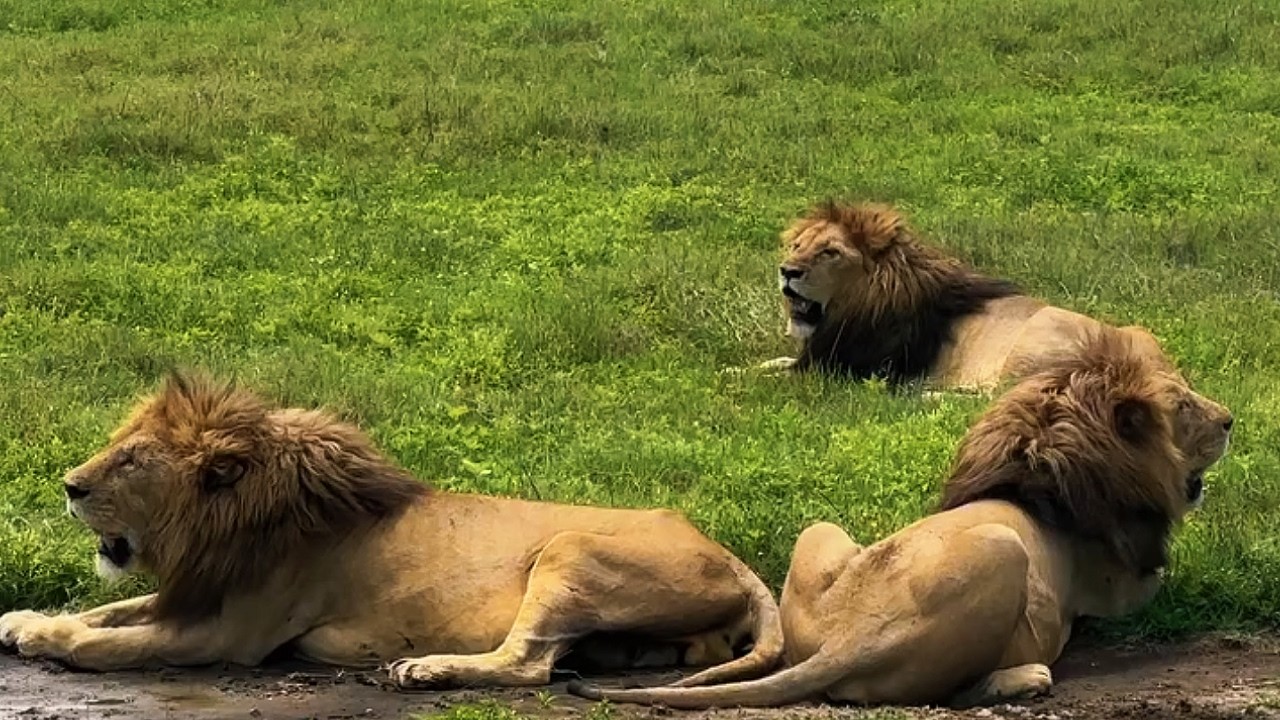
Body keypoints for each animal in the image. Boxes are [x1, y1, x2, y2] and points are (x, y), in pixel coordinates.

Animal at [0, 373, 784, 690]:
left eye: (132, 459)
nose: (68, 486)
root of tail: (731, 555)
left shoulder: (228, 633)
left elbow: (108, 643)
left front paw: (44, 637)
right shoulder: (194, 593)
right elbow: (109, 608)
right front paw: (21, 617)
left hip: (569, 552)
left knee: (527, 663)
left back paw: (426, 670)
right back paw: (632, 655)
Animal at [571, 327, 1233, 708]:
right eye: (1182, 406)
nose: (1229, 419)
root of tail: (851, 639)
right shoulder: (1124, 587)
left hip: (820, 531)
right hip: (1004, 551)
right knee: (957, 693)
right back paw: (1023, 679)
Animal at [761, 200, 1174, 391]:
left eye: (830, 252)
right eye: (797, 245)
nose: (787, 270)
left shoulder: (844, 368)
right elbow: (775, 363)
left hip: (1035, 340)